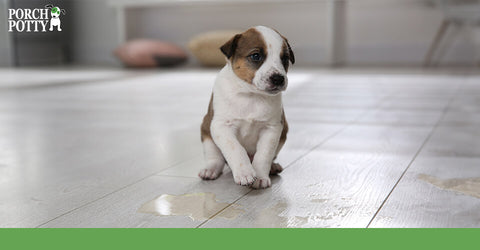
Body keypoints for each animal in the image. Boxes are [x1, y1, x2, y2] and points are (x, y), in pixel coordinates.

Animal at [197, 25, 294, 189]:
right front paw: (245, 173)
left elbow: (264, 155)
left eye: (285, 59)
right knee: (216, 158)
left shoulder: (272, 129)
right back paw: (210, 170)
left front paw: (260, 177)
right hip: (206, 131)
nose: (278, 79)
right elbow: (236, 148)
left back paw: (272, 167)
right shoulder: (221, 126)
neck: (251, 95)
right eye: (256, 56)